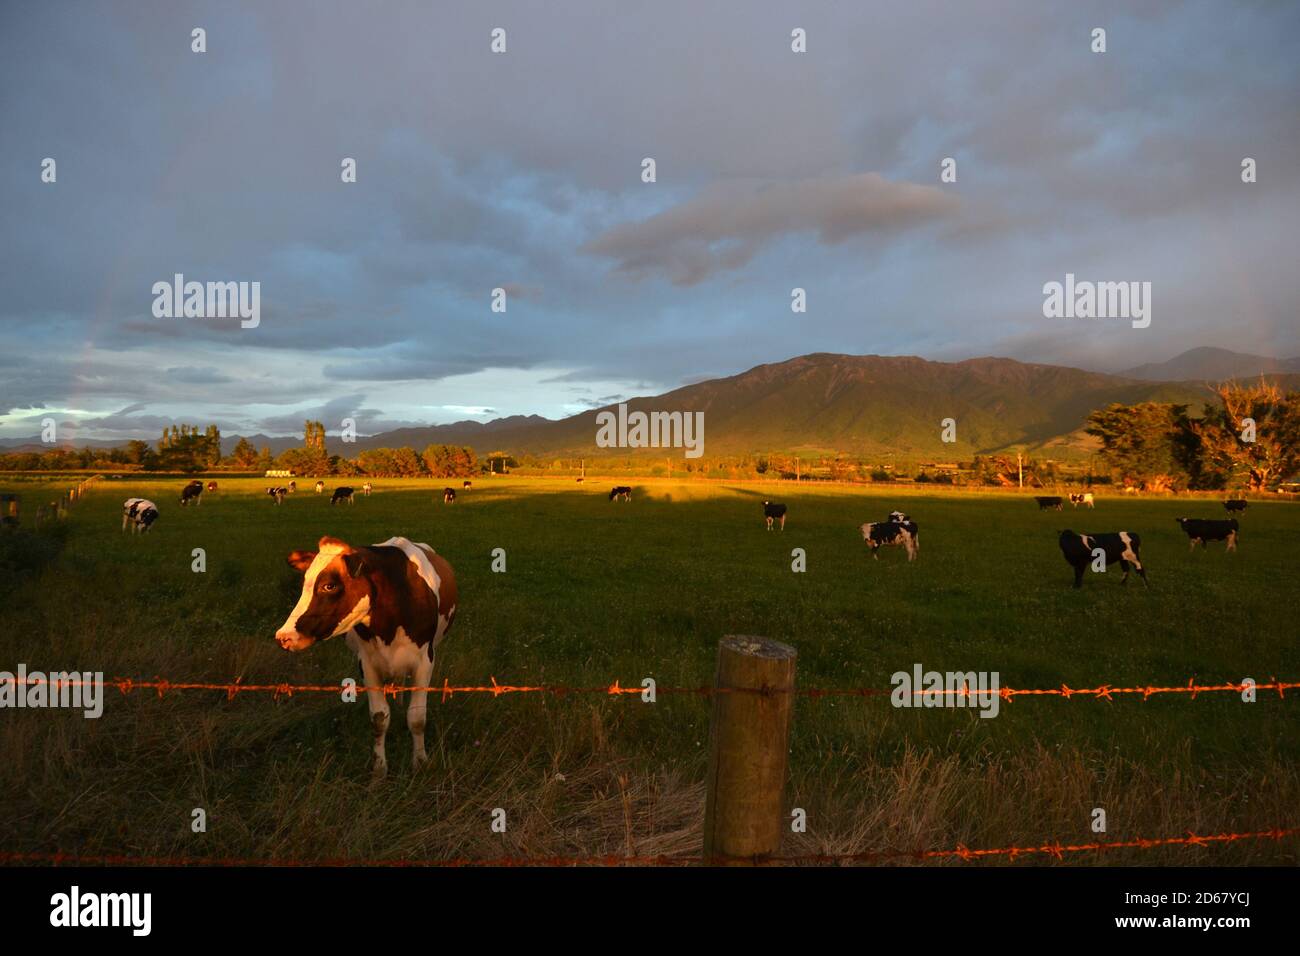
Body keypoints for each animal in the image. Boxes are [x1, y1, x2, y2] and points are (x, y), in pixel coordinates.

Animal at [273, 538, 457, 780]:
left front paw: (420, 763)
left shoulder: (424, 662)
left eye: (329, 586)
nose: (283, 636)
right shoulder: (368, 665)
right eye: (305, 583)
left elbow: (417, 719)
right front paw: (379, 771)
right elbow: (379, 718)